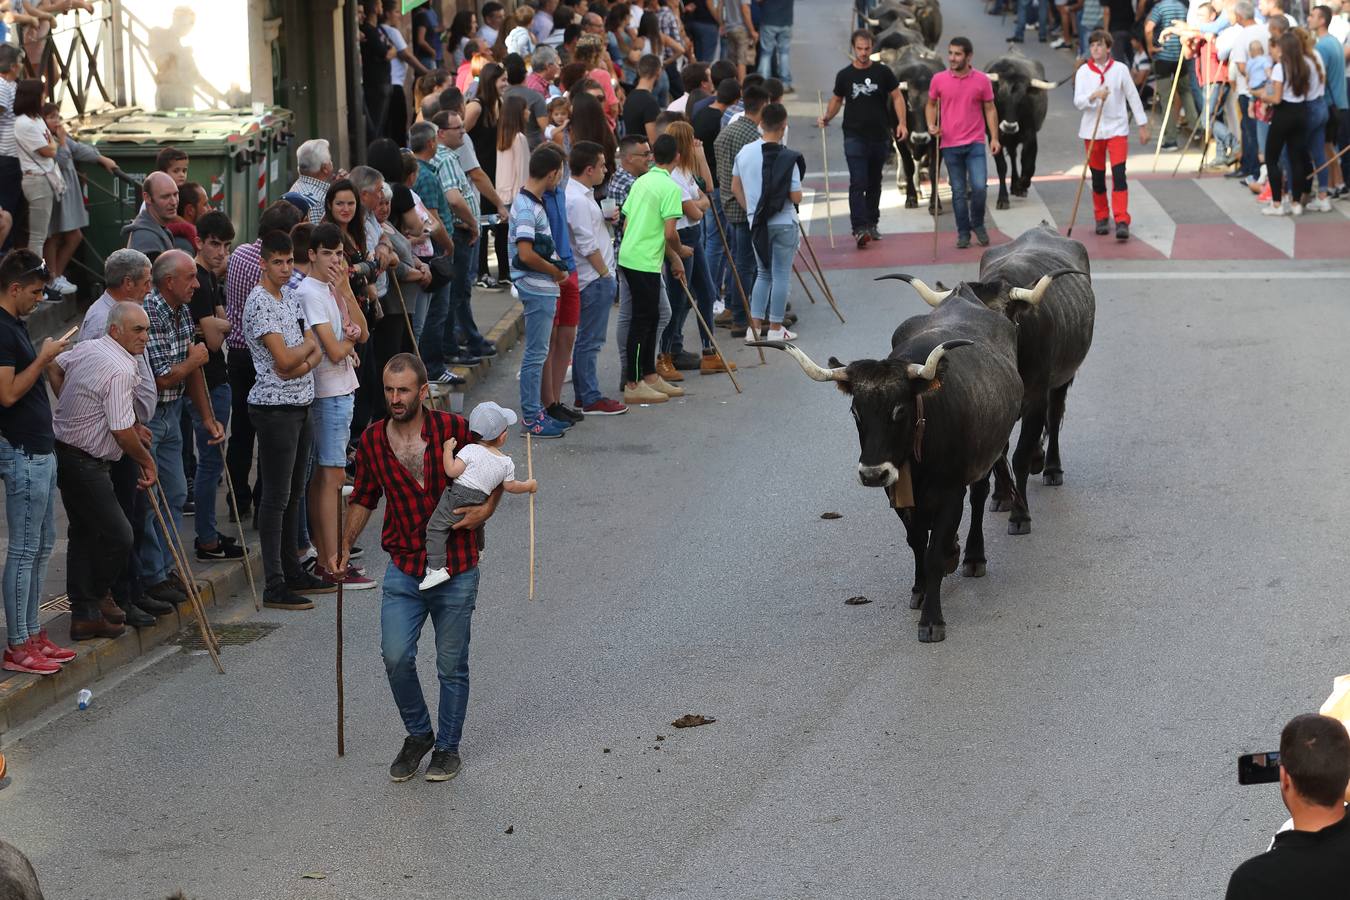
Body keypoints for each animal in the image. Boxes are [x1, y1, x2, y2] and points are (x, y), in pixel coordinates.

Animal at [756, 284, 1015, 644]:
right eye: (855, 412)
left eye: (899, 411)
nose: (872, 474)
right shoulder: (896, 494)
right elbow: (917, 543)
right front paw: (920, 588)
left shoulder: (951, 493)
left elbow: (934, 553)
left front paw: (931, 620)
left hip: (992, 452)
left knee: (979, 497)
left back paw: (974, 557)